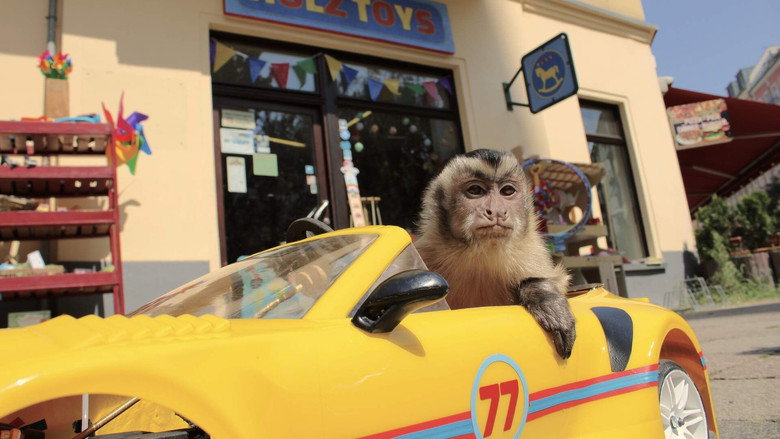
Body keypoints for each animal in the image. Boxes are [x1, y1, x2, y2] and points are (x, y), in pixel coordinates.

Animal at [414, 149, 576, 359]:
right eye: (476, 191)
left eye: (507, 191)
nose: (497, 211)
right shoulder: (425, 252)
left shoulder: (532, 253)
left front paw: (545, 297)